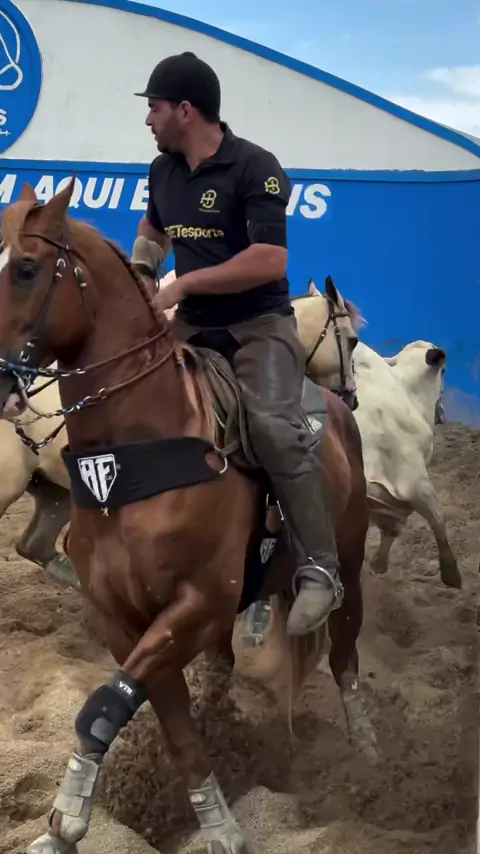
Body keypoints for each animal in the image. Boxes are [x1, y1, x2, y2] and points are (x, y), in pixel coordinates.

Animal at [0, 181, 375, 854]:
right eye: (352, 339)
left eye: (26, 268)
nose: (355, 391)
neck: (134, 453)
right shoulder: (130, 621)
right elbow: (156, 718)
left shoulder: (197, 603)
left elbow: (105, 704)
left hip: (350, 567)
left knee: (344, 654)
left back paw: (366, 750)